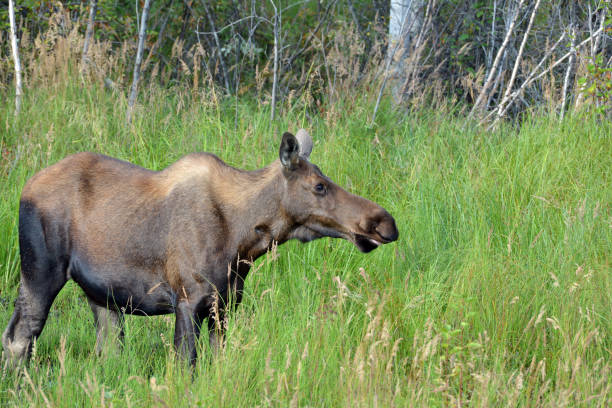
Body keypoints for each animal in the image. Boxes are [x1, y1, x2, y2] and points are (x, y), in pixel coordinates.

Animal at [2, 130, 400, 364]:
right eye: (319, 186)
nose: (385, 222)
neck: (245, 241)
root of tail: (26, 186)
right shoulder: (188, 299)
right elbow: (186, 365)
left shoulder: (224, 306)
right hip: (40, 272)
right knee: (19, 337)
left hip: (102, 298)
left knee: (107, 350)